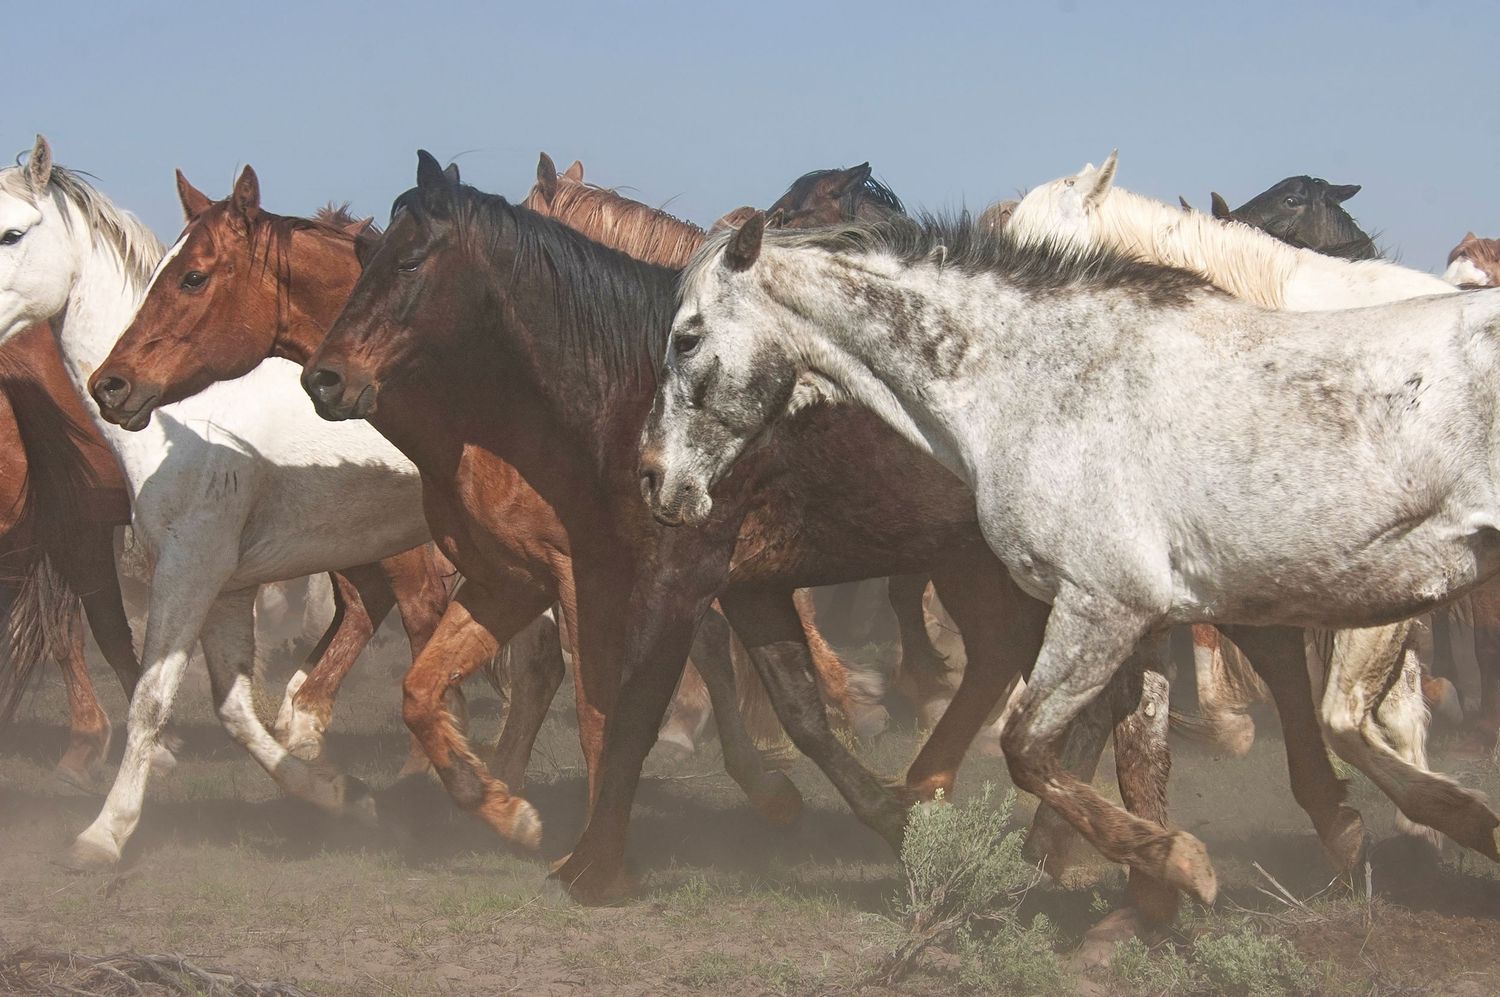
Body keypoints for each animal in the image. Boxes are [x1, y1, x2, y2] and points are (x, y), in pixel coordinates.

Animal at [0, 136, 461, 869]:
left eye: (13, 233)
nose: (112, 388)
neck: (188, 417)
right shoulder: (226, 584)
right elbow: (233, 708)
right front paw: (338, 795)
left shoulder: (185, 566)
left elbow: (149, 692)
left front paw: (105, 830)